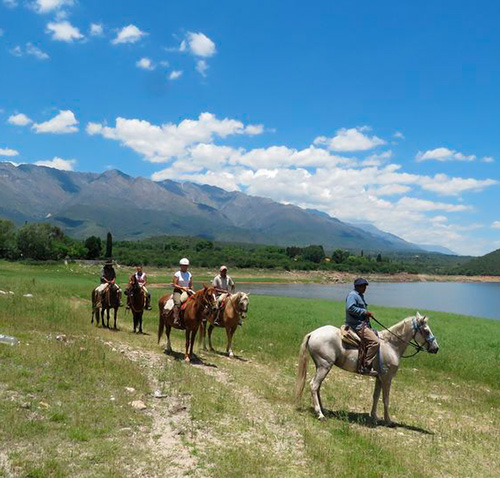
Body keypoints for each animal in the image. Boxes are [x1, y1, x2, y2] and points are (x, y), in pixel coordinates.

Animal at [294, 316, 440, 424]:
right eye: (426, 330)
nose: (436, 348)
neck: (391, 345)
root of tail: (313, 333)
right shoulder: (387, 378)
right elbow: (386, 399)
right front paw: (388, 421)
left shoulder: (379, 378)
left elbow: (376, 396)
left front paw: (374, 416)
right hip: (324, 366)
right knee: (314, 385)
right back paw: (320, 414)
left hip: (321, 367)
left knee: (317, 387)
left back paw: (323, 410)